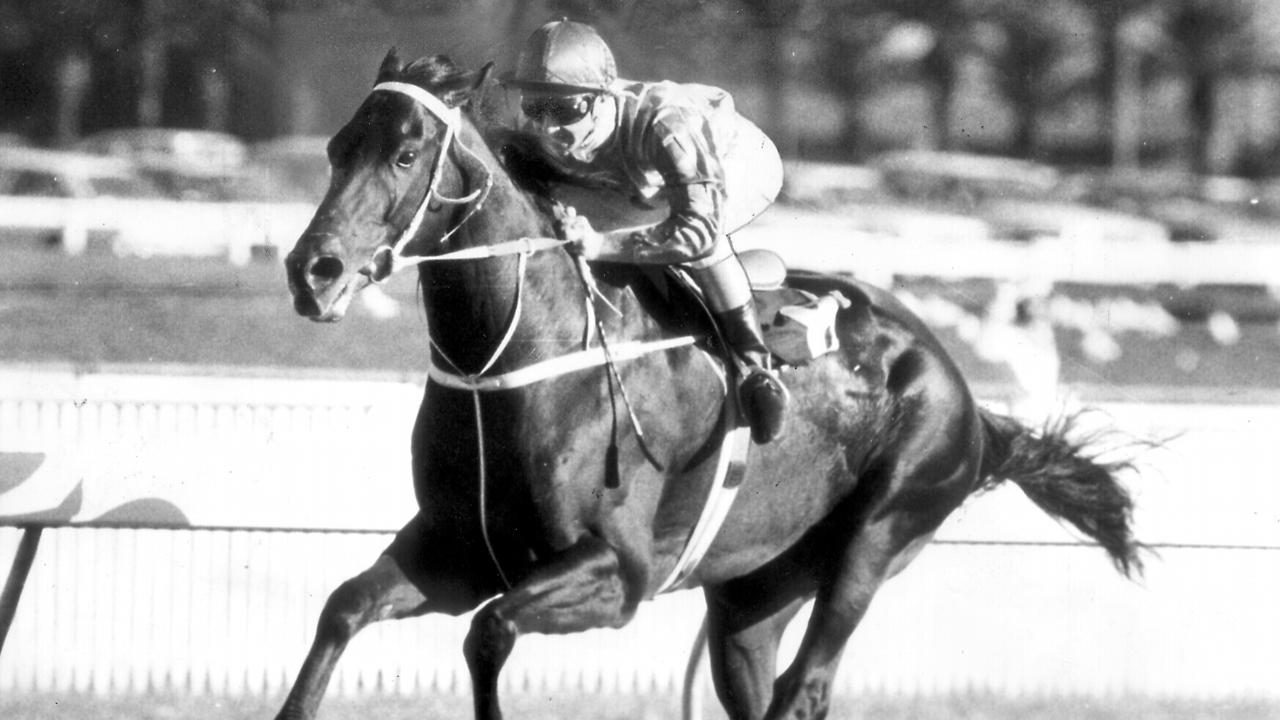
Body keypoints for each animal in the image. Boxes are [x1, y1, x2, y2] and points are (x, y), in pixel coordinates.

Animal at [280, 51, 1141, 717]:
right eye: (336, 149)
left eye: (404, 155)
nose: (311, 271)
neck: (509, 364)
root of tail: (964, 395)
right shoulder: (455, 551)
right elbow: (342, 608)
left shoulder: (618, 573)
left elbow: (488, 632)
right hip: (755, 591)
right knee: (758, 683)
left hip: (881, 536)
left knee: (806, 686)